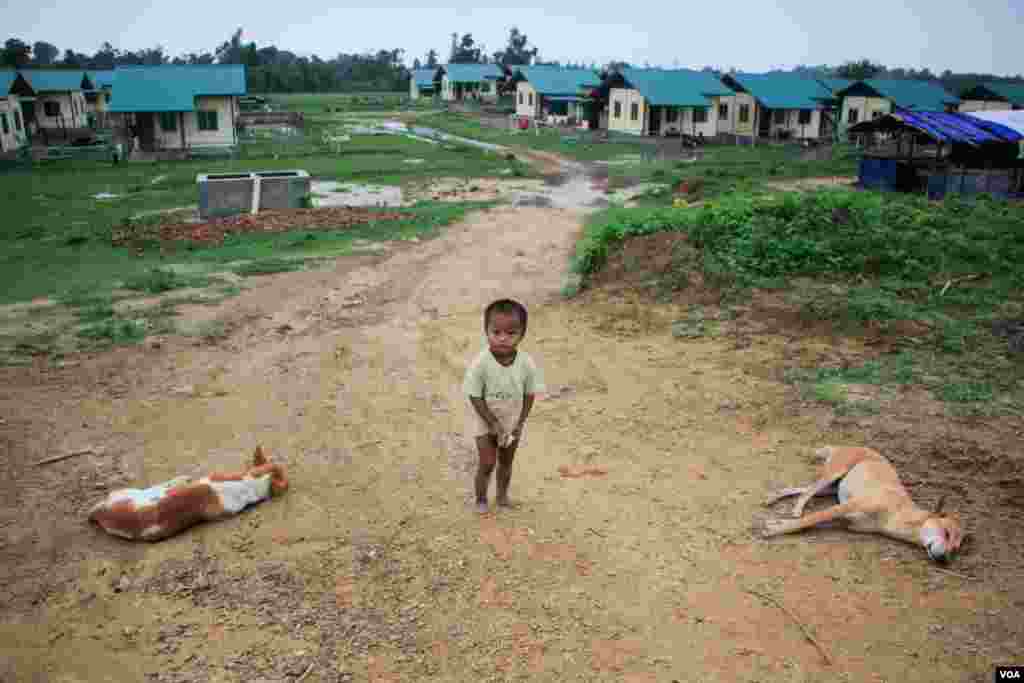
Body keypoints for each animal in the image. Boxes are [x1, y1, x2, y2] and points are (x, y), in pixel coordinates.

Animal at [761, 446, 966, 565]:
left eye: (955, 549)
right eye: (946, 533)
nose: (944, 559)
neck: (900, 515)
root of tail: (848, 444)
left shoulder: (848, 522)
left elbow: (810, 521)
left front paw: (777, 524)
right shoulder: (848, 506)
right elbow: (809, 519)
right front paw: (774, 528)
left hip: (831, 488)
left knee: (802, 489)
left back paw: (774, 497)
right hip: (833, 474)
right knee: (807, 492)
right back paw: (795, 508)